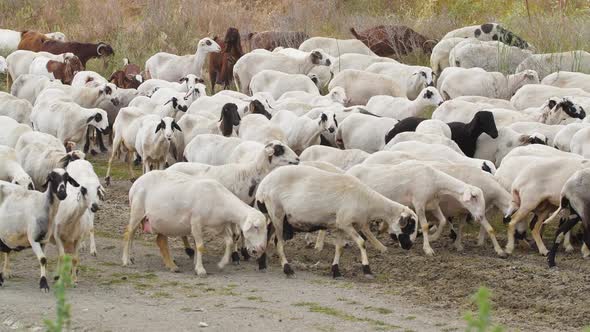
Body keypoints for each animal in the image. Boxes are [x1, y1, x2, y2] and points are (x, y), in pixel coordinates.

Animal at [125, 171, 268, 274]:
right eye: (256, 227)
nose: (262, 248)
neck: (221, 201)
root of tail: (136, 183)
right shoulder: (196, 222)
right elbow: (200, 246)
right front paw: (200, 269)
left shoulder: (218, 226)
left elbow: (229, 242)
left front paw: (221, 264)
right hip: (137, 211)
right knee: (129, 234)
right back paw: (127, 260)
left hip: (161, 221)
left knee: (160, 241)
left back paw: (171, 266)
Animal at [256, 165, 418, 278]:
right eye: (410, 226)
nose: (409, 246)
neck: (368, 201)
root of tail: (262, 186)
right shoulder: (346, 223)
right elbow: (361, 243)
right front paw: (367, 269)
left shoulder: (340, 225)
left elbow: (339, 247)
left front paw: (336, 271)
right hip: (277, 212)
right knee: (278, 242)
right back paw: (287, 269)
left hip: (274, 215)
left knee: (267, 235)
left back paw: (262, 264)